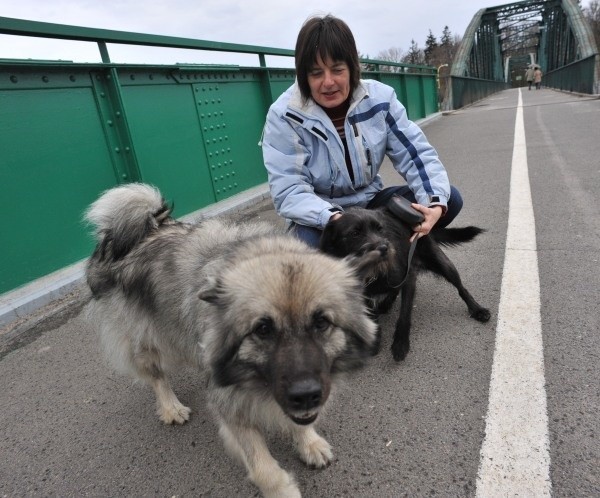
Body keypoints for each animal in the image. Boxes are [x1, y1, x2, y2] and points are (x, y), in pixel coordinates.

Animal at [83, 184, 380, 498]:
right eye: (263, 329)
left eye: (322, 323)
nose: (306, 394)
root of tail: (138, 233)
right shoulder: (230, 403)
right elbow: (262, 467)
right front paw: (281, 489)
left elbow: (297, 422)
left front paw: (308, 442)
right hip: (147, 342)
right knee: (156, 376)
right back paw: (171, 407)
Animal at [322, 206, 490, 362]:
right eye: (355, 233)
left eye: (380, 229)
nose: (384, 248)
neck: (374, 272)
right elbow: (372, 316)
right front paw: (375, 340)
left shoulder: (409, 278)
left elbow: (405, 314)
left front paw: (400, 344)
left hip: (442, 263)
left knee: (461, 288)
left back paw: (477, 310)